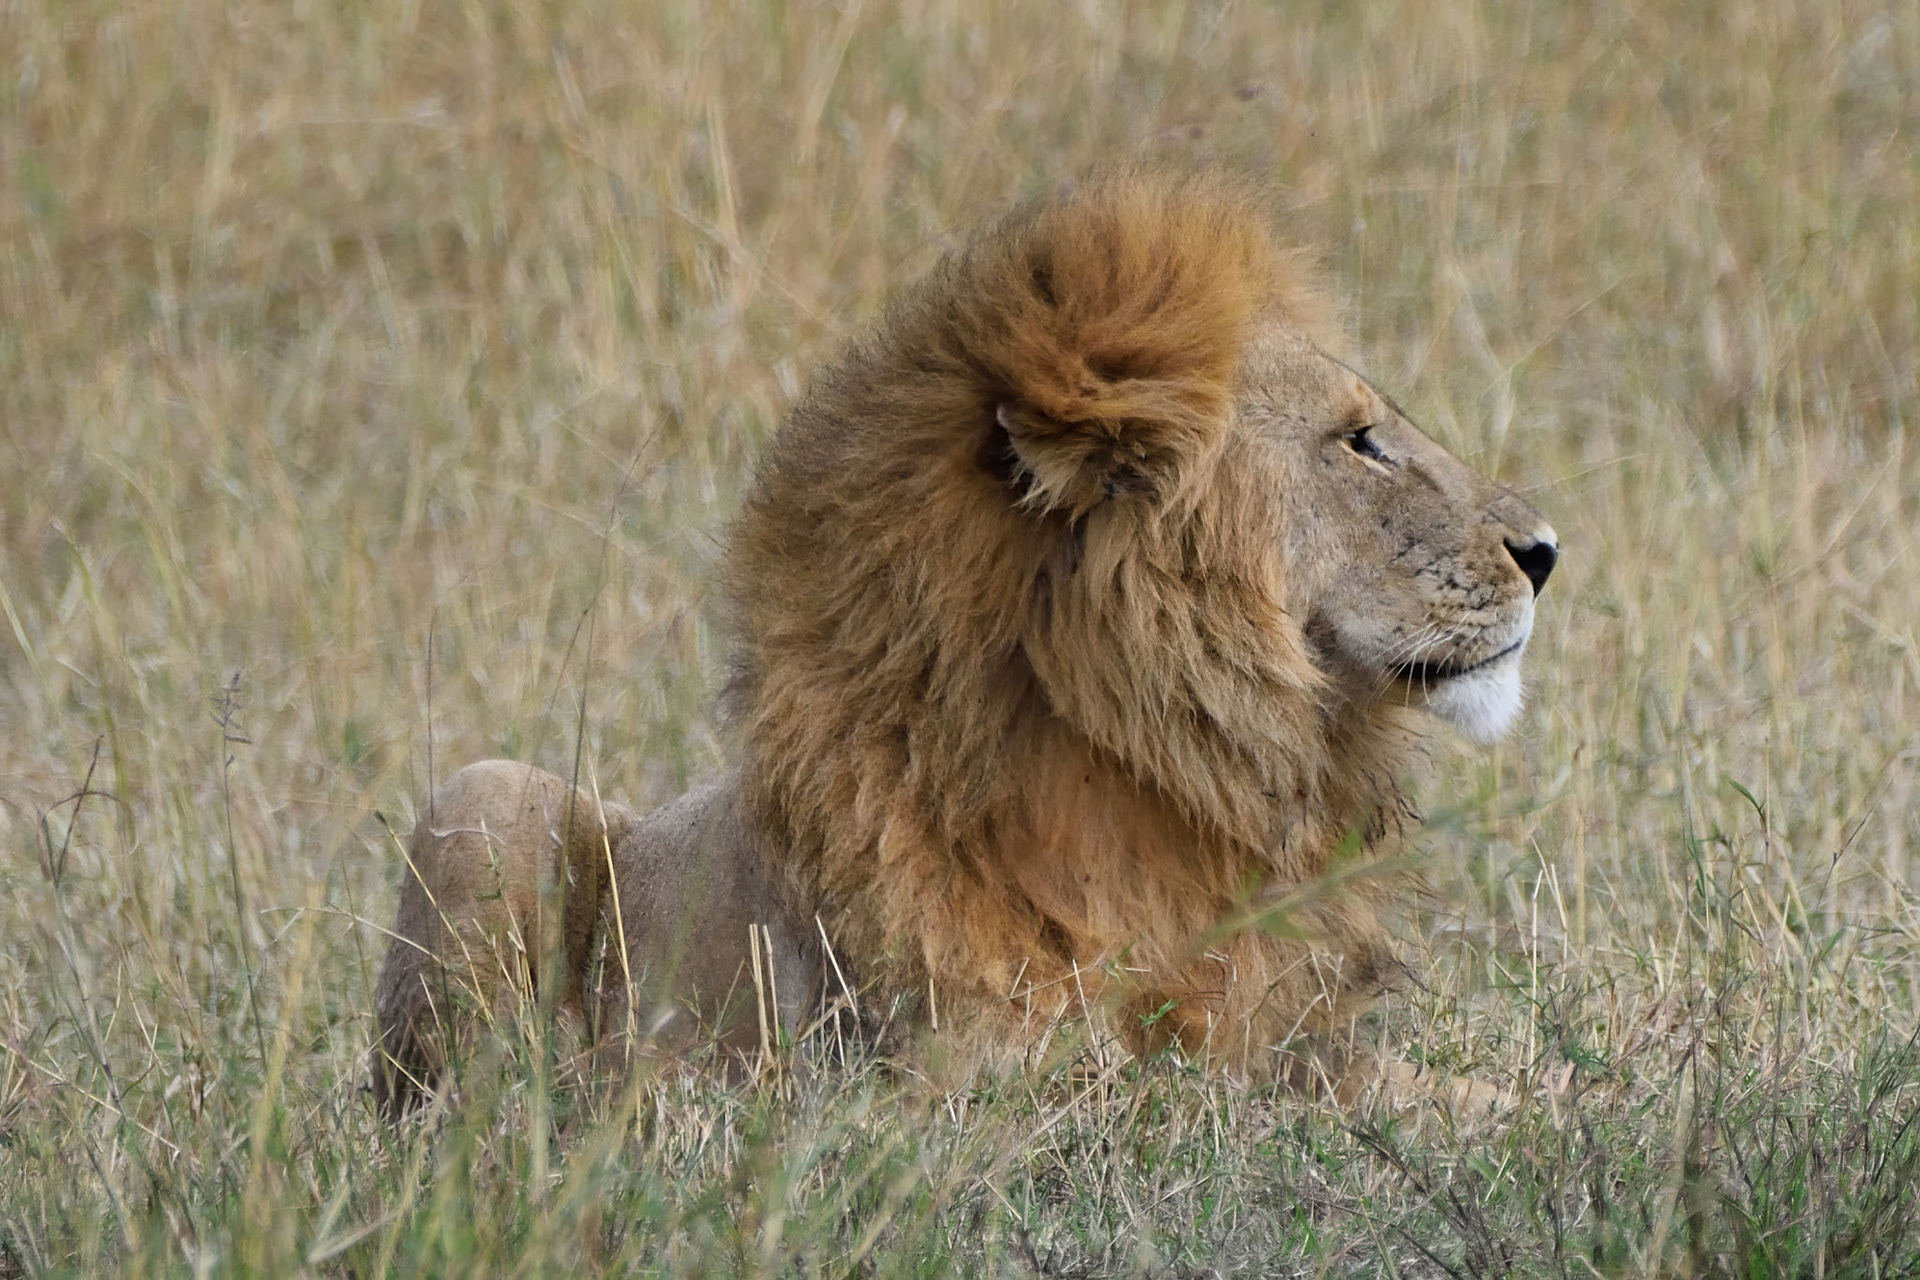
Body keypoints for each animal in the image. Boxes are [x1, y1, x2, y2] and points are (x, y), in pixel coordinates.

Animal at [370, 169, 1557, 1116]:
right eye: (1358, 442)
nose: (1546, 551)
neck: (1181, 768)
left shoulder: (1296, 1030)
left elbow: (1462, 1089)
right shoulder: (976, 1085)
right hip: (490, 796)